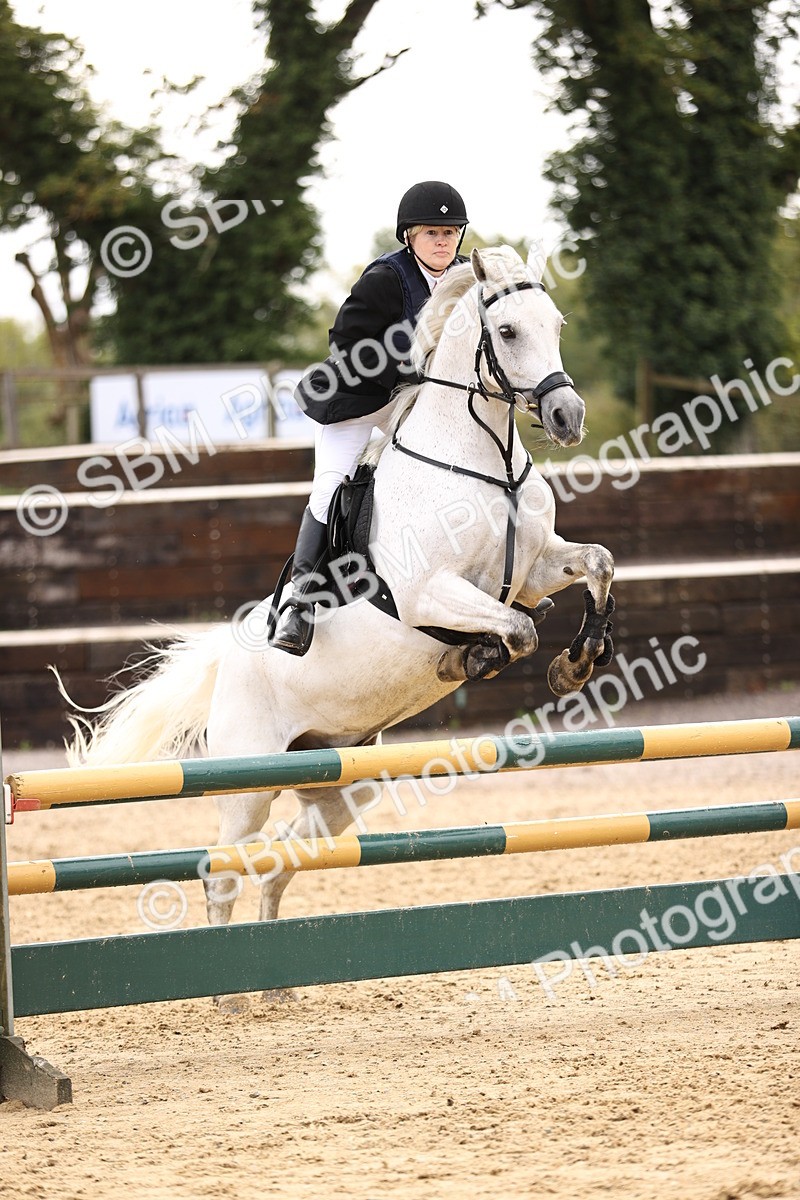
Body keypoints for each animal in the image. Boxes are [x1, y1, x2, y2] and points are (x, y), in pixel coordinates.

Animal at [62, 245, 614, 978]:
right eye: (508, 332)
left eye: (555, 324)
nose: (567, 417)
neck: (483, 460)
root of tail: (228, 659)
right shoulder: (429, 591)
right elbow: (518, 630)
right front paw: (473, 658)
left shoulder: (534, 568)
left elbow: (595, 566)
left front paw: (578, 662)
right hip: (250, 781)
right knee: (223, 870)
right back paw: (228, 986)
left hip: (341, 784)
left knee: (281, 858)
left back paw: (273, 985)